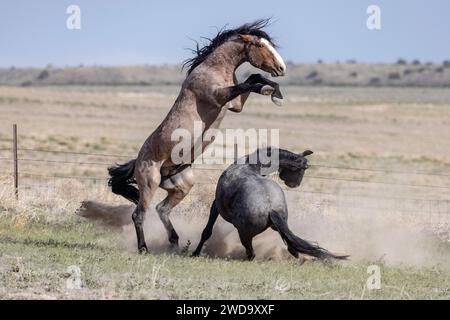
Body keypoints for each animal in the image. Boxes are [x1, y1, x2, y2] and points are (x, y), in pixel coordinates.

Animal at [107, 19, 286, 252]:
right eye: (259, 45)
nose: (281, 68)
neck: (214, 69)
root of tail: (137, 161)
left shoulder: (234, 104)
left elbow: (252, 78)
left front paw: (276, 92)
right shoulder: (219, 96)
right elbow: (248, 82)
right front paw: (269, 91)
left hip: (182, 185)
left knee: (162, 209)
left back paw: (175, 241)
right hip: (150, 183)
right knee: (139, 214)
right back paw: (144, 248)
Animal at [192, 149, 348, 262]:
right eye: (303, 168)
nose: (295, 184)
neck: (250, 165)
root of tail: (271, 209)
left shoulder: (215, 205)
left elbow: (207, 231)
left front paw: (195, 253)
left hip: (244, 234)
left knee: (251, 253)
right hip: (276, 225)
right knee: (290, 244)